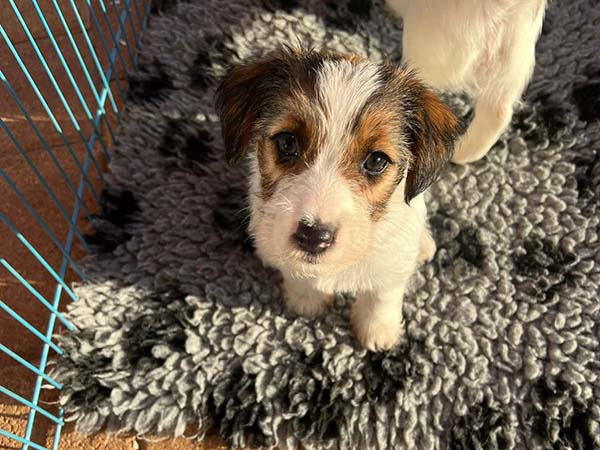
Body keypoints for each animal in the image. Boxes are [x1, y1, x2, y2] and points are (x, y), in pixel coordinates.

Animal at [216, 48, 460, 351]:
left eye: (376, 160)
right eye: (287, 142)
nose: (313, 236)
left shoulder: (392, 260)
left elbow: (382, 293)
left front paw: (377, 329)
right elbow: (297, 274)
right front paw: (306, 300)